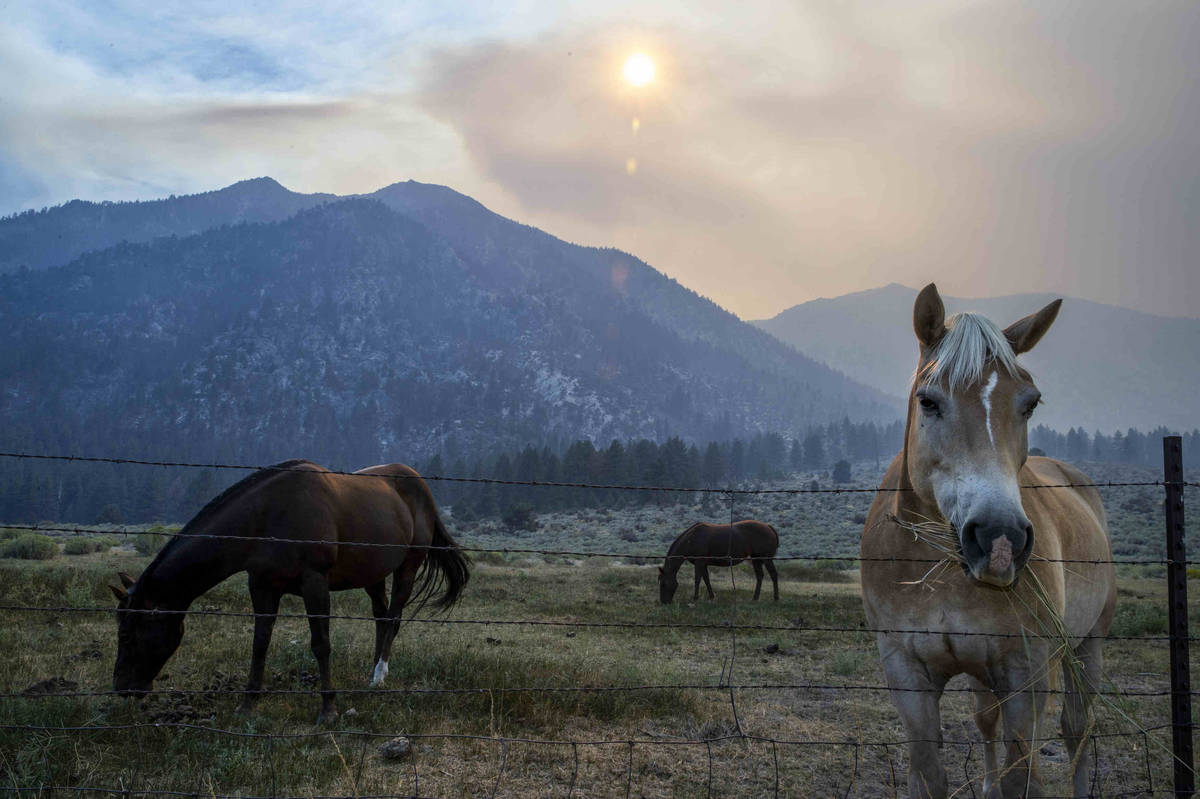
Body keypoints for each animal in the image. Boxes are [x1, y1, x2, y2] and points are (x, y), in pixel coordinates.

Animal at [110, 453, 470, 719]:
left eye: (126, 635)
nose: (121, 688)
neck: (267, 516)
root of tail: (418, 482)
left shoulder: (315, 581)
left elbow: (321, 644)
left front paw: (328, 709)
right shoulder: (262, 586)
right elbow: (259, 643)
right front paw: (247, 704)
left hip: (408, 566)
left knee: (393, 617)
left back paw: (380, 676)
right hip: (374, 574)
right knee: (381, 618)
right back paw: (371, 675)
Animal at [864, 286, 1113, 796]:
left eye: (1030, 403)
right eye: (928, 401)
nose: (1000, 539)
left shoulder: (1026, 673)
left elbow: (1024, 778)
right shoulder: (906, 673)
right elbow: (929, 774)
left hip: (1088, 644)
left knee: (1078, 729)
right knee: (986, 723)